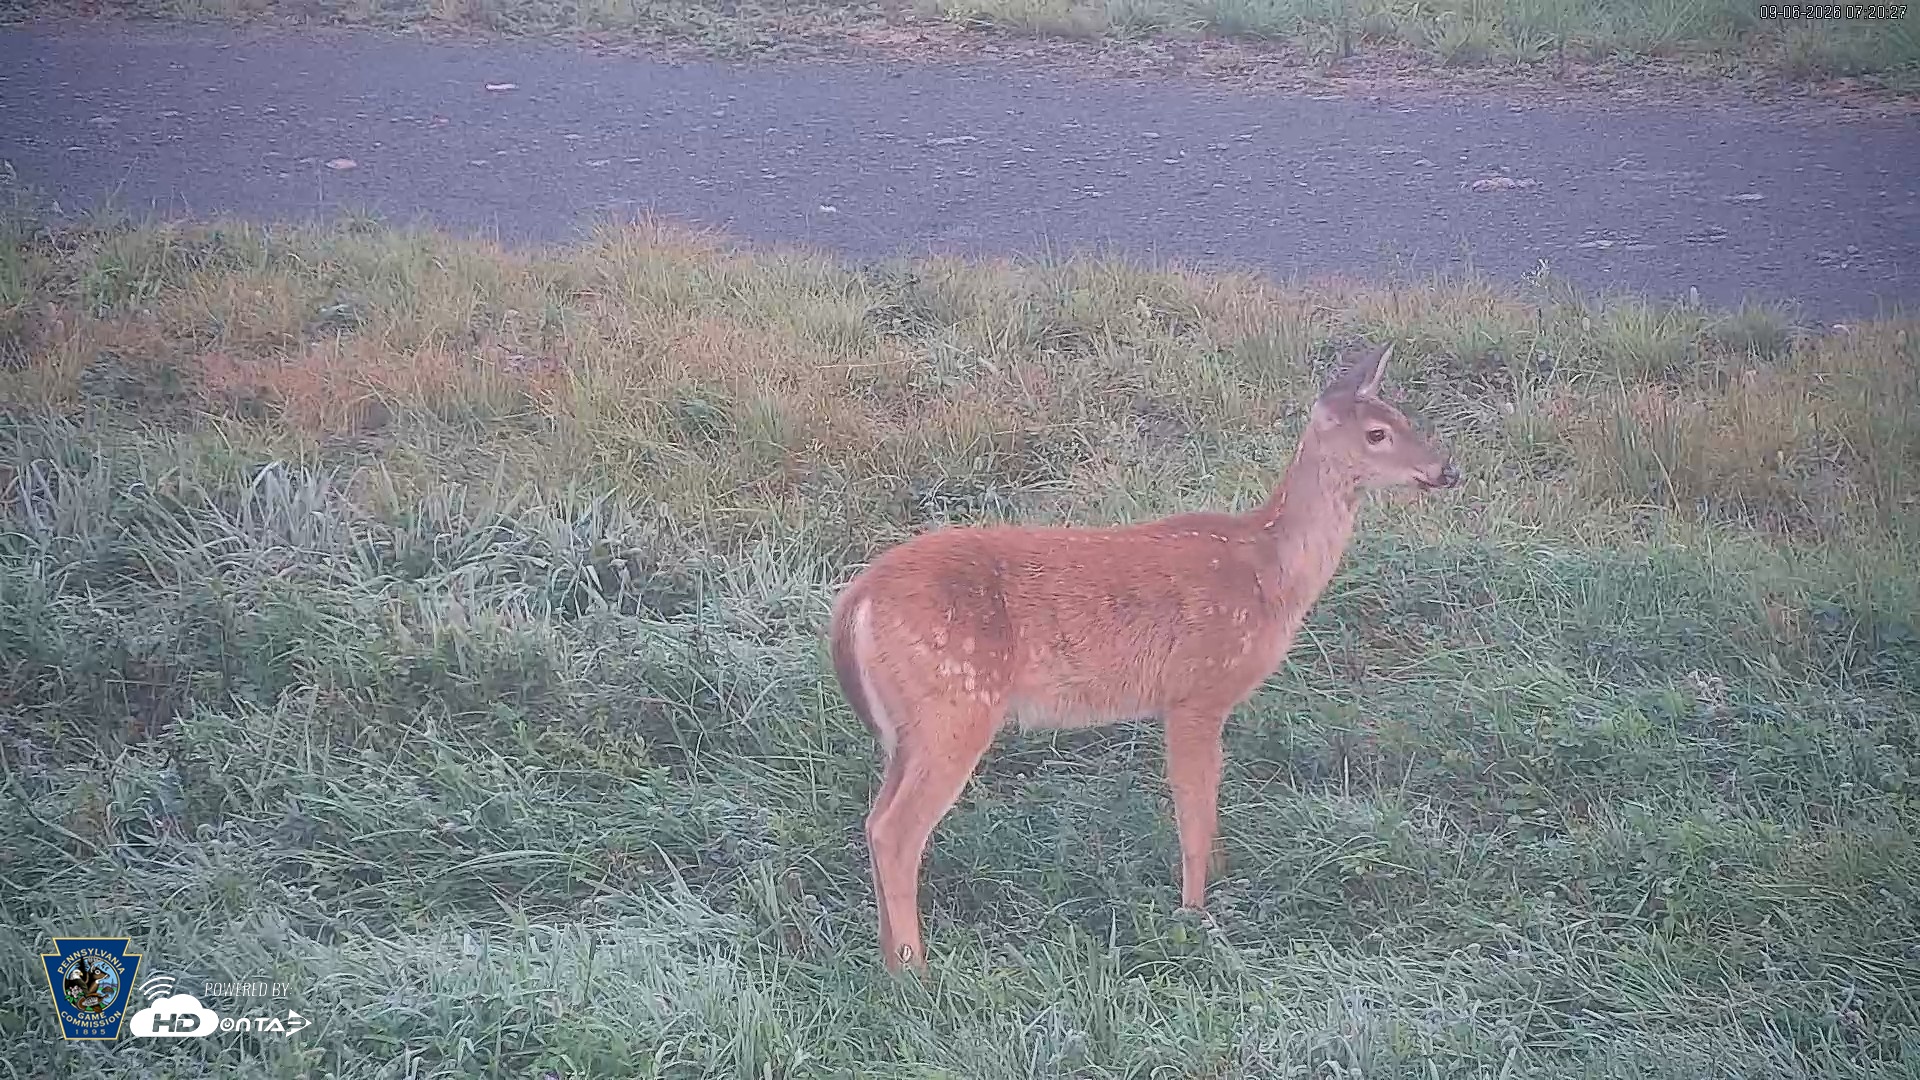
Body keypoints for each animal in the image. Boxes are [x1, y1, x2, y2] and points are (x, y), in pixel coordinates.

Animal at [827, 341, 1462, 974]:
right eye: (1378, 434)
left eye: (1405, 416)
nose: (1446, 471)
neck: (1270, 574)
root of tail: (855, 603)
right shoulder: (1197, 692)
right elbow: (1194, 812)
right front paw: (1195, 915)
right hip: (955, 702)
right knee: (896, 831)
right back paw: (914, 969)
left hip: (909, 725)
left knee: (874, 819)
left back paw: (889, 956)